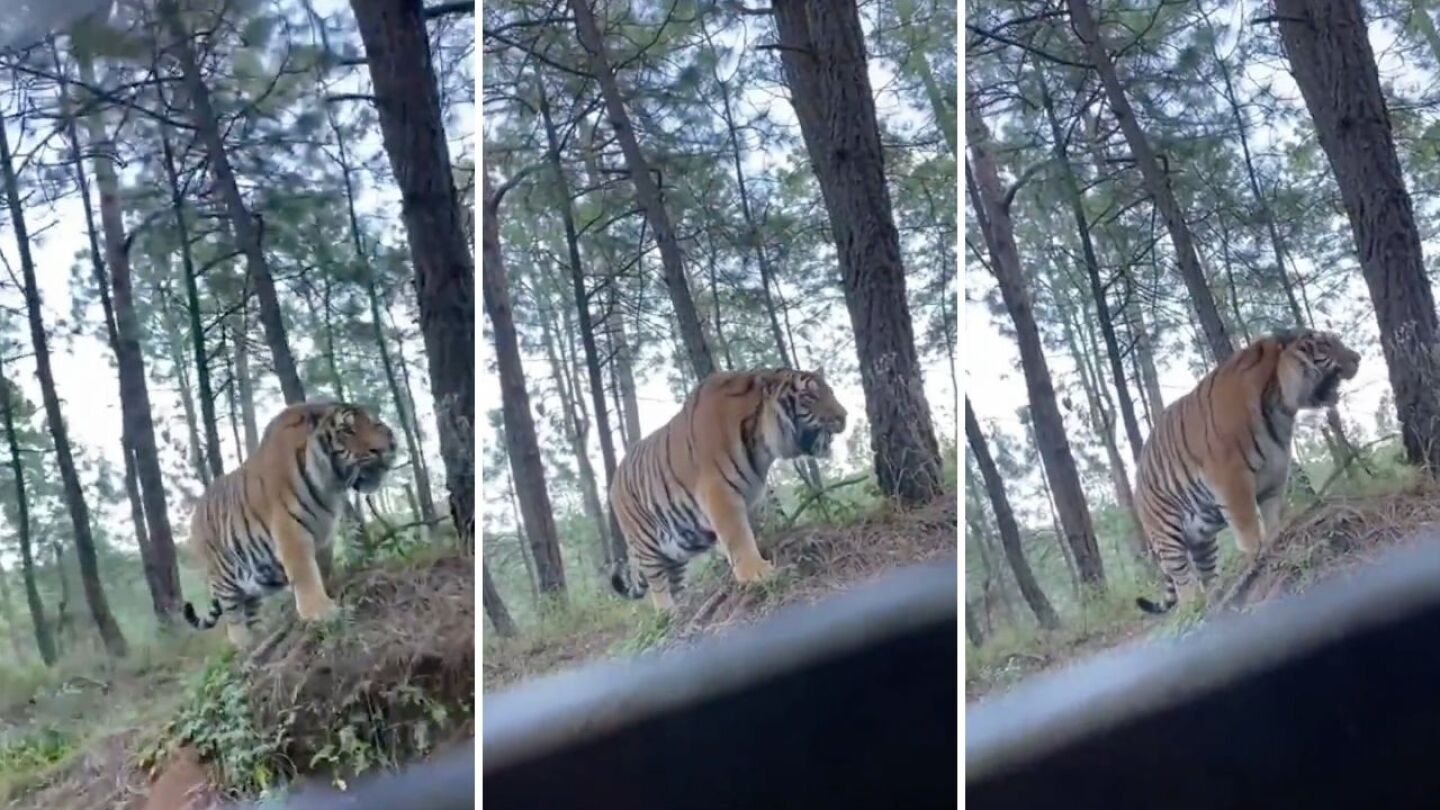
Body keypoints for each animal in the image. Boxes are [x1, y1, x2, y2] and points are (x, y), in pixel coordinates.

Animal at [182, 401, 397, 646]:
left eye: (376, 424)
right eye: (347, 430)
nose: (381, 449)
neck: (330, 486)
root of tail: (194, 513)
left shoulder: (324, 535)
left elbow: (322, 567)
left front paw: (329, 590)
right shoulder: (290, 530)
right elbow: (304, 572)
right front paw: (320, 612)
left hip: (251, 584)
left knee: (251, 610)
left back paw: (260, 635)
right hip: (223, 576)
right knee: (233, 615)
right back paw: (245, 643)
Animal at [609, 368, 848, 611]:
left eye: (830, 391)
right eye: (809, 397)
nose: (844, 416)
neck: (762, 442)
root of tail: (613, 481)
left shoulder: (750, 496)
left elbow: (751, 530)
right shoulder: (719, 492)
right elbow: (738, 535)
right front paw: (757, 573)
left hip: (676, 547)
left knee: (672, 579)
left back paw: (681, 609)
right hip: (645, 542)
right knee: (657, 582)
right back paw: (667, 612)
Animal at [1133, 329, 1360, 614]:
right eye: (1326, 345)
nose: (1358, 357)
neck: (1280, 406)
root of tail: (1137, 476)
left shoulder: (1274, 476)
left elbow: (1273, 518)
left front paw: (1276, 542)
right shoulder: (1231, 479)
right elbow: (1248, 528)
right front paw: (1257, 557)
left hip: (1202, 538)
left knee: (1207, 574)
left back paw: (1216, 600)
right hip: (1166, 533)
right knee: (1182, 581)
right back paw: (1193, 609)